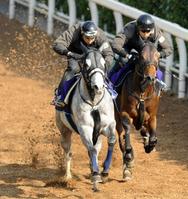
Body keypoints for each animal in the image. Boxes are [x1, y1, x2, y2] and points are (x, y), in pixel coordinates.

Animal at [55, 44, 116, 191]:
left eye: (103, 63)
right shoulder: (85, 128)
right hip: (64, 129)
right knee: (68, 151)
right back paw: (68, 177)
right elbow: (91, 149)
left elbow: (111, 140)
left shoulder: (107, 126)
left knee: (95, 149)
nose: (98, 86)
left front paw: (104, 171)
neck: (94, 103)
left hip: (97, 136)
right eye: (86, 64)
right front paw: (96, 175)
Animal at [116, 41, 160, 180]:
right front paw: (129, 157)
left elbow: (153, 138)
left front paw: (149, 145)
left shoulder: (152, 116)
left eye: (158, 56)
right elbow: (127, 132)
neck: (142, 93)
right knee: (121, 138)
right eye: (141, 56)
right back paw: (127, 165)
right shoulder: (124, 113)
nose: (150, 77)